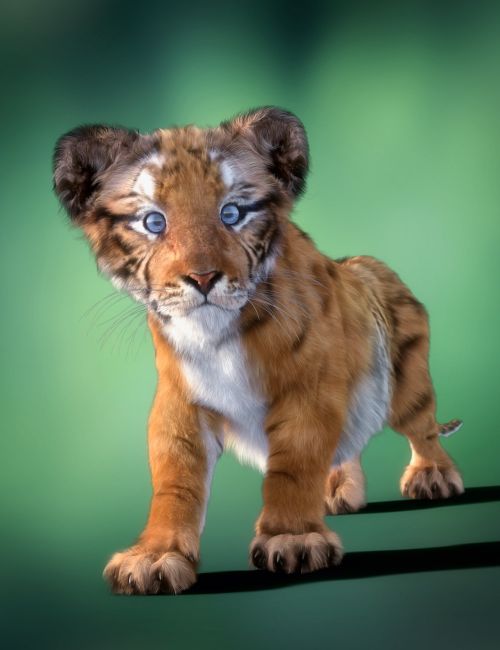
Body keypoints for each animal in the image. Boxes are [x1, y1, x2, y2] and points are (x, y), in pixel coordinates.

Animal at [53, 107, 464, 595]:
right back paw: (336, 491)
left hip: (407, 384)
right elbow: (175, 483)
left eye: (232, 213)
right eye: (154, 222)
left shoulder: (308, 391)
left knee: (421, 428)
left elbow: (293, 467)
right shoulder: (180, 404)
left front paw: (292, 539)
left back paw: (432, 476)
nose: (204, 278)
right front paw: (154, 557)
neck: (214, 338)